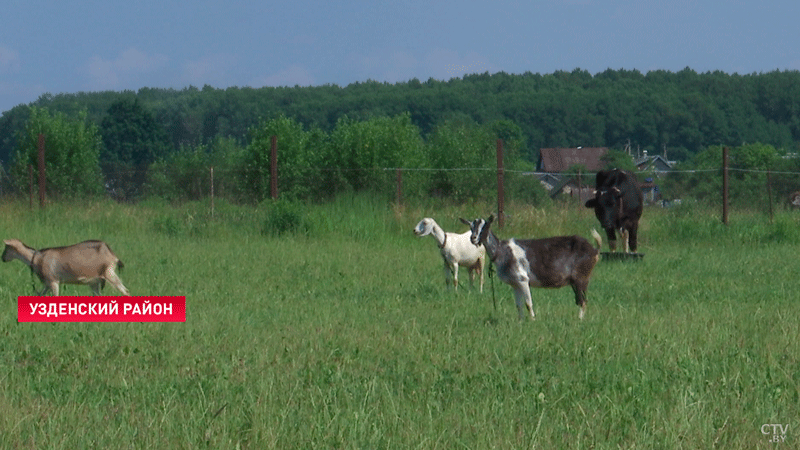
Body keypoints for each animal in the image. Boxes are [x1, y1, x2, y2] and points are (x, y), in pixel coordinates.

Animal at [1, 237, 130, 298]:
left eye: (6, 248)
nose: (2, 258)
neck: (36, 258)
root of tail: (112, 255)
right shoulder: (47, 283)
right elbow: (41, 294)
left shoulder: (53, 281)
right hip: (95, 281)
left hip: (109, 273)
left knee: (125, 291)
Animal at [462, 217, 600, 320]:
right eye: (471, 227)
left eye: (485, 226)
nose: (473, 238)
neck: (502, 251)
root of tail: (594, 250)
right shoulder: (515, 283)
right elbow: (519, 305)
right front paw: (520, 321)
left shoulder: (523, 279)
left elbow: (528, 303)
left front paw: (533, 320)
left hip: (581, 277)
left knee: (582, 300)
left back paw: (579, 320)